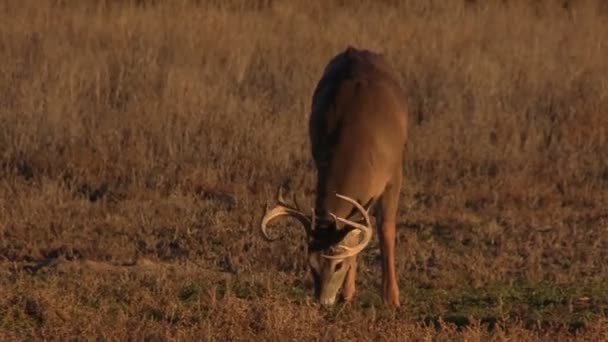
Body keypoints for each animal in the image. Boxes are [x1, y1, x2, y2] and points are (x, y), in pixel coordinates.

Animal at [262, 46, 408, 308]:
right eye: (310, 264)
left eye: (337, 265)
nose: (323, 300)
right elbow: (354, 234)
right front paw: (348, 293)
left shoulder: (394, 174)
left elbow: (386, 229)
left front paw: (391, 297)